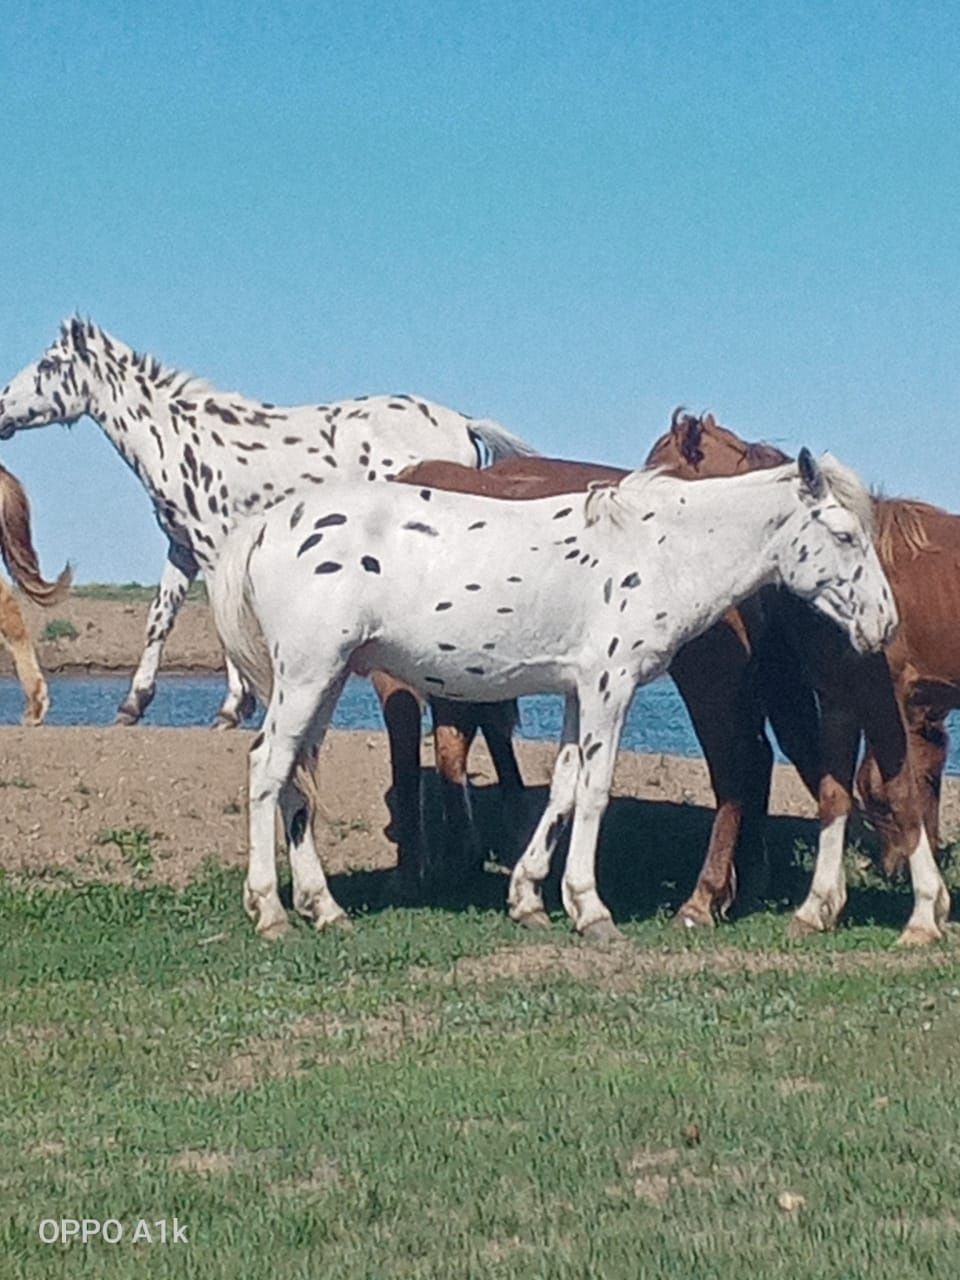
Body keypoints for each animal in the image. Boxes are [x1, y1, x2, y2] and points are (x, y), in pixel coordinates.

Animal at [207, 450, 906, 942]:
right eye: (845, 535)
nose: (884, 623)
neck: (660, 548)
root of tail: (266, 527)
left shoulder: (577, 692)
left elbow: (566, 789)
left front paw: (528, 898)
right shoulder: (609, 687)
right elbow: (594, 791)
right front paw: (590, 909)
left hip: (322, 683)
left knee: (294, 779)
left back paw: (323, 908)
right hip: (308, 676)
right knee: (266, 770)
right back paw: (270, 910)